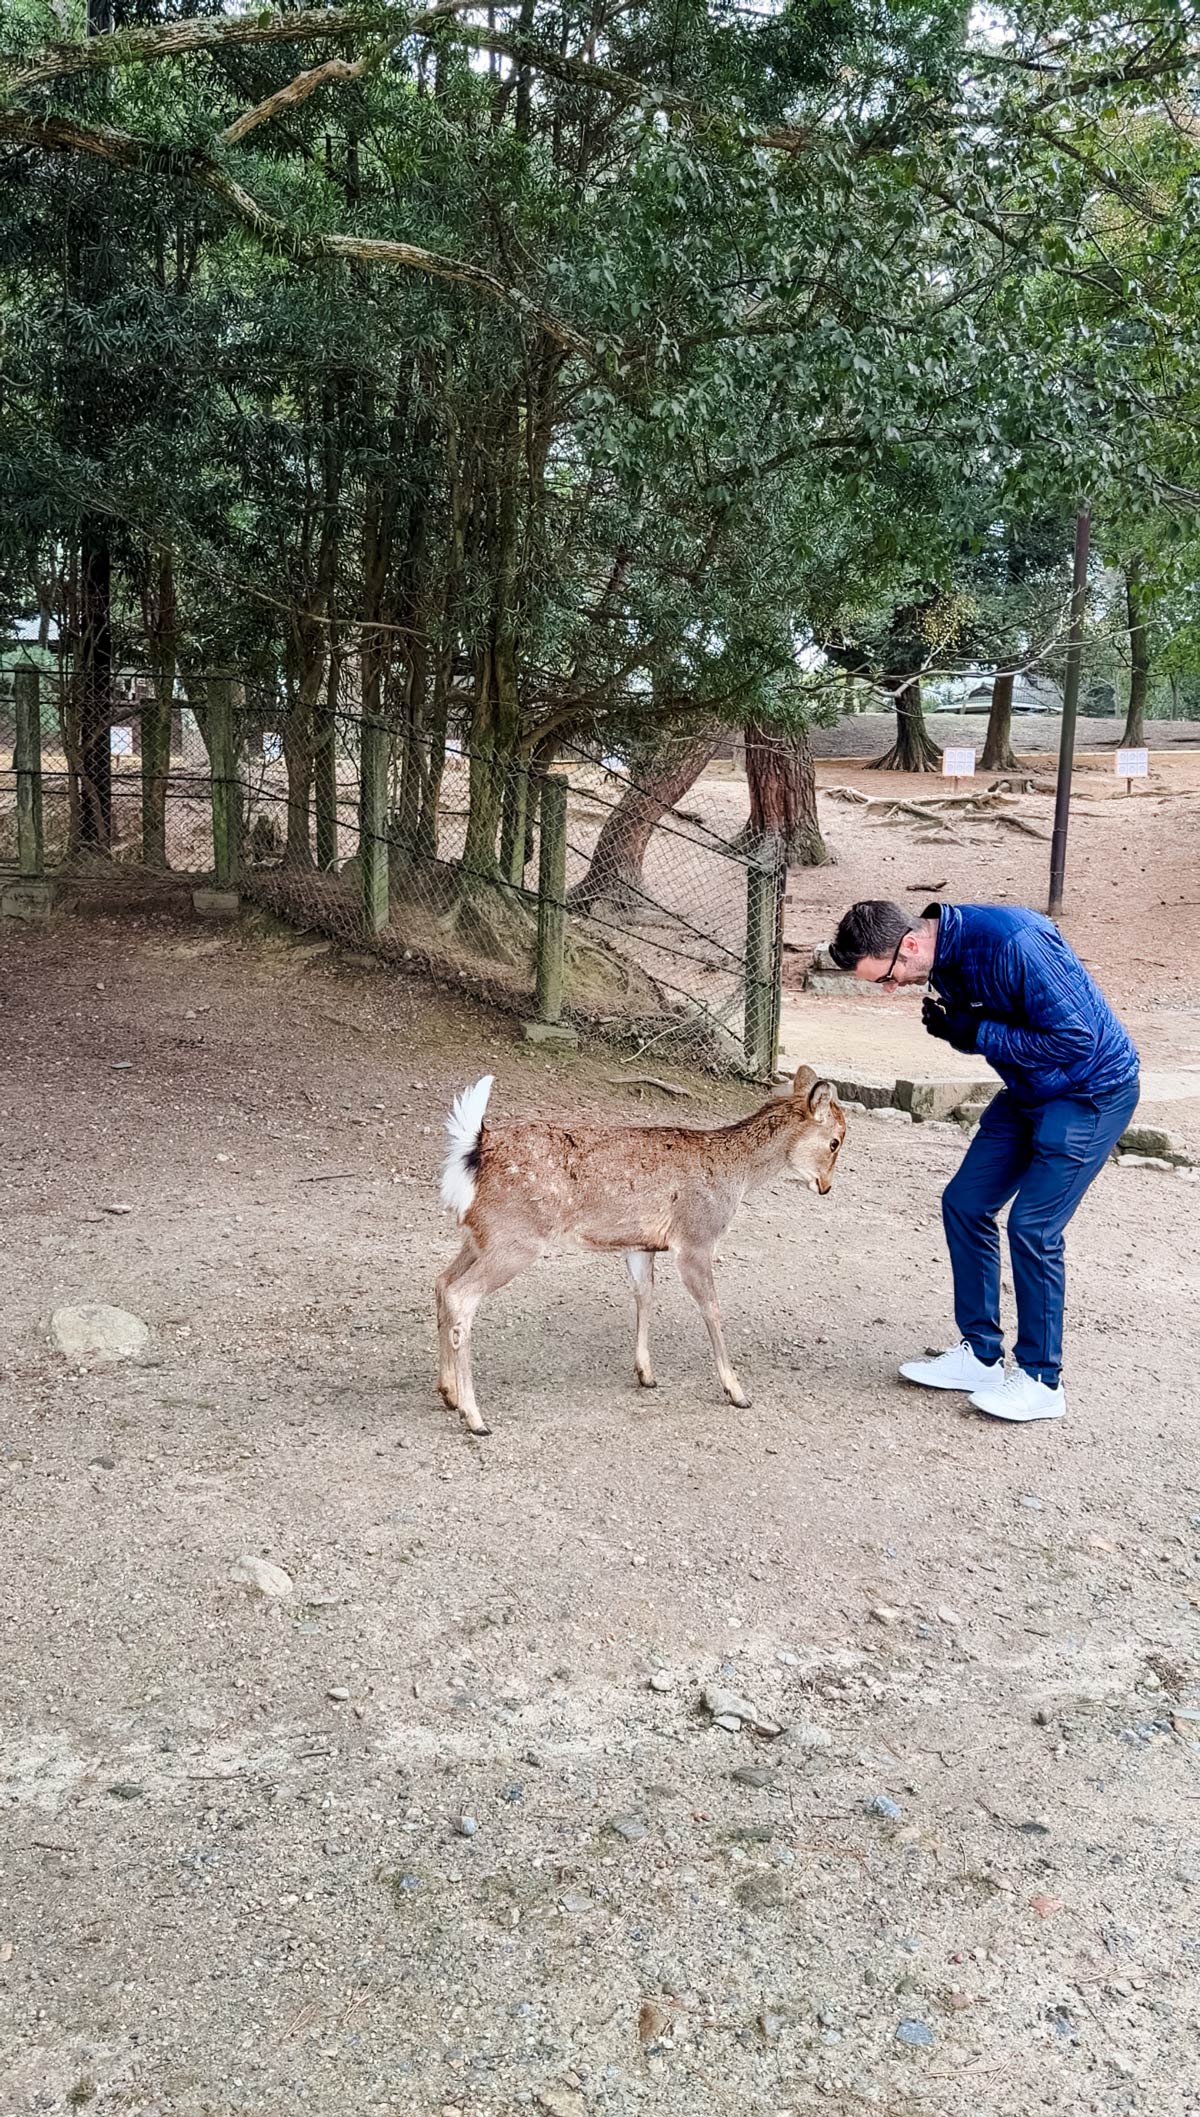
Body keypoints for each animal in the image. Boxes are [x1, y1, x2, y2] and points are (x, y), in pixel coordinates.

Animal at [434, 1066, 846, 1434]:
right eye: (836, 1141)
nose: (825, 1187)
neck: (736, 1177)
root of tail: (473, 1148)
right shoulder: (695, 1238)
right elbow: (712, 1308)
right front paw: (737, 1391)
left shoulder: (642, 1244)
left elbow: (644, 1295)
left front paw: (646, 1374)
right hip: (515, 1239)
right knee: (461, 1294)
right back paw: (474, 1417)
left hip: (479, 1237)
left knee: (441, 1281)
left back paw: (449, 1393)